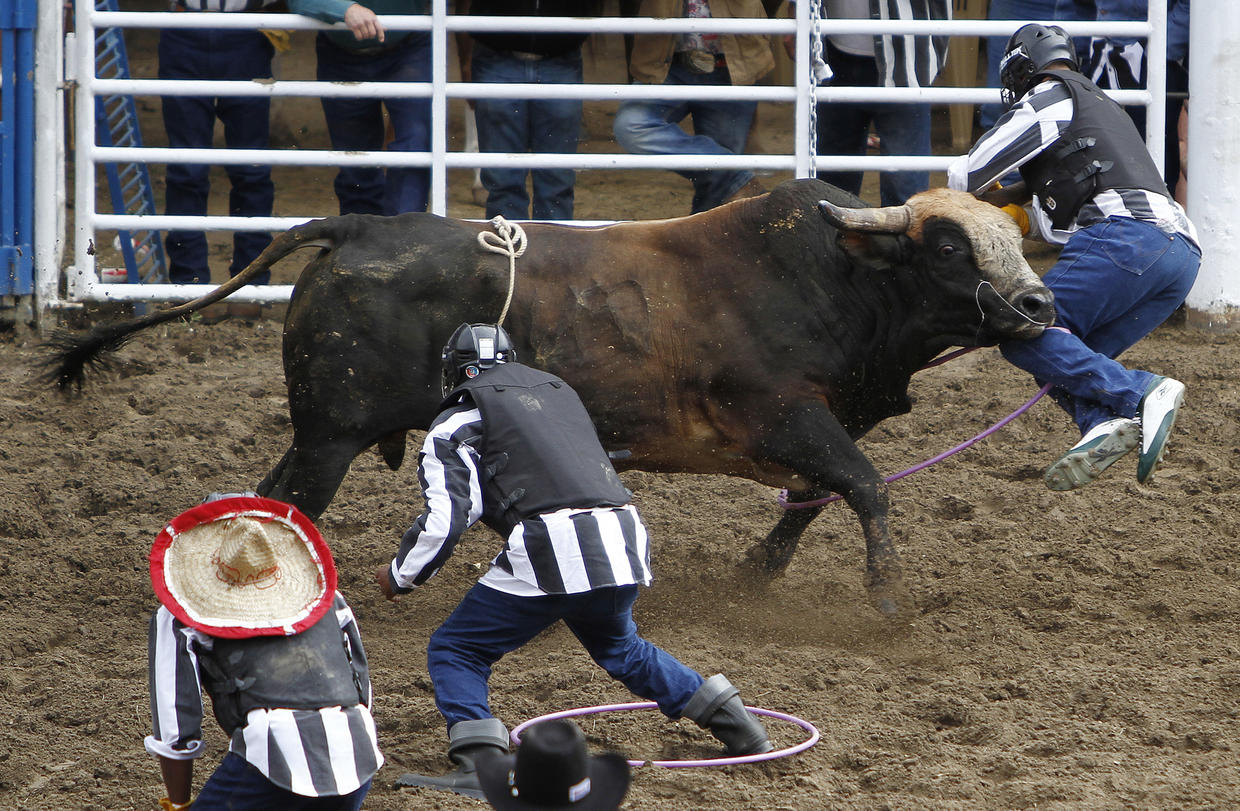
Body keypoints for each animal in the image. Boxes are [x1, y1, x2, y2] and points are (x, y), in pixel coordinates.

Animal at [50, 181, 1056, 620]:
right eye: (950, 248)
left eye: (1008, 242)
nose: (1040, 305)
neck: (836, 279)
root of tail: (352, 229)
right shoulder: (784, 413)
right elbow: (865, 485)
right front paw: (886, 597)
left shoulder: (811, 427)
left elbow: (812, 500)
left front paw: (754, 573)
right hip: (330, 434)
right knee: (287, 505)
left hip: (324, 432)